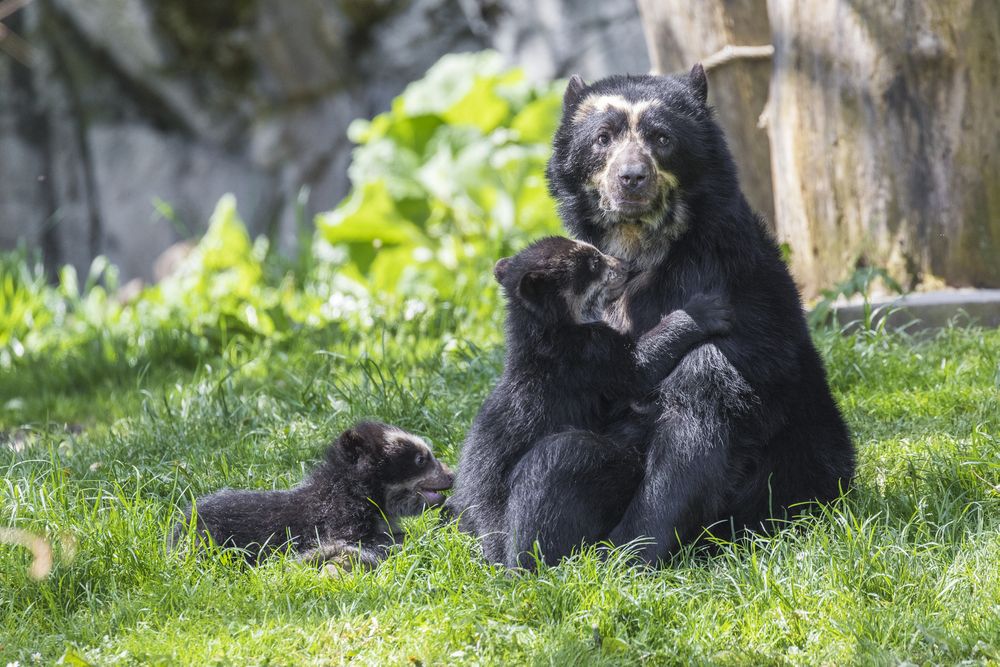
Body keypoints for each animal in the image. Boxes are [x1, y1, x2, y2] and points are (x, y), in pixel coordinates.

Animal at [508, 64, 860, 564]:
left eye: (662, 138)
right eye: (602, 138)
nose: (632, 178)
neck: (641, 245)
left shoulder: (722, 280)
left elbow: (698, 406)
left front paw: (633, 552)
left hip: (792, 469)